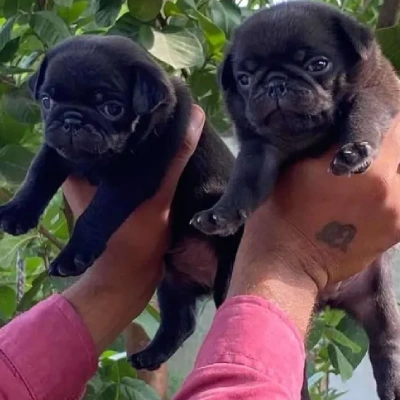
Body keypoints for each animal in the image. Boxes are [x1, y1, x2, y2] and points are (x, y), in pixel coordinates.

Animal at [0, 35, 241, 368]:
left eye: (112, 108)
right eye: (47, 101)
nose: (71, 120)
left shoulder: (132, 175)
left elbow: (97, 212)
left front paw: (73, 255)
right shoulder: (55, 151)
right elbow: (37, 176)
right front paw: (16, 212)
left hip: (228, 262)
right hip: (173, 278)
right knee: (181, 320)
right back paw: (150, 355)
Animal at [191, 2, 400, 400]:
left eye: (318, 64)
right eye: (245, 79)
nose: (275, 83)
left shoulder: (377, 92)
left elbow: (363, 115)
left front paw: (354, 150)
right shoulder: (258, 146)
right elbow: (244, 182)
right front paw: (221, 214)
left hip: (381, 300)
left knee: (387, 344)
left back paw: (394, 384)